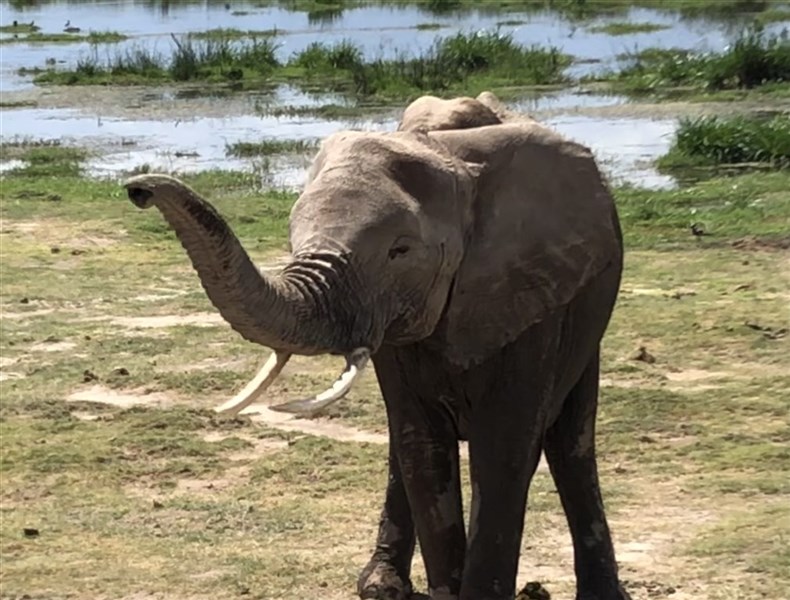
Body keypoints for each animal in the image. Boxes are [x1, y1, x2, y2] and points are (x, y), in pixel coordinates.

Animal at [124, 90, 632, 600]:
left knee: (570, 442)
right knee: (402, 443)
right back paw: (381, 586)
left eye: (399, 251)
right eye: (292, 237)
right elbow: (422, 447)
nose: (137, 190)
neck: (447, 154)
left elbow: (503, 451)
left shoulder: (533, 297)